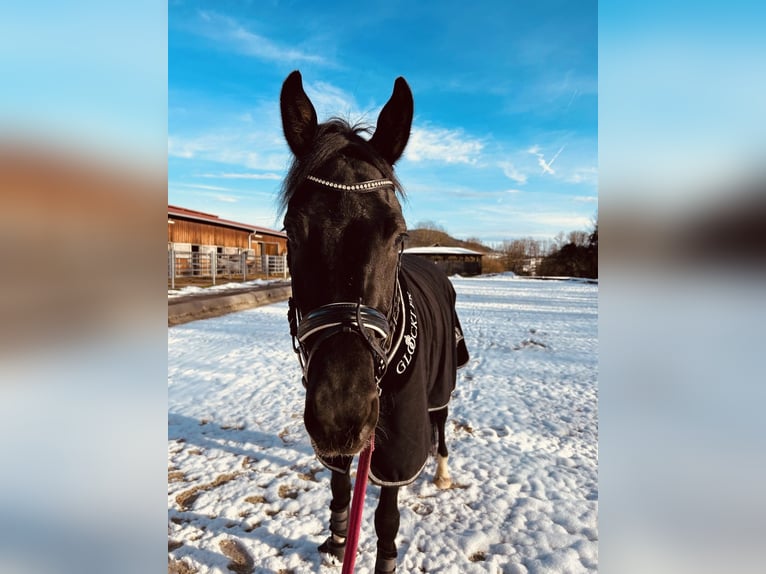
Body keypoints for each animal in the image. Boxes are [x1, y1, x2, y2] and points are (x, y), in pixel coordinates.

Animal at [280, 70, 468, 572]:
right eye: (291, 231)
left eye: (398, 234)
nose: (341, 415)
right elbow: (340, 483)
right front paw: (337, 535)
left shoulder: (398, 441)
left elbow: (387, 515)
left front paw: (384, 559)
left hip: (442, 384)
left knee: (442, 425)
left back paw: (443, 471)